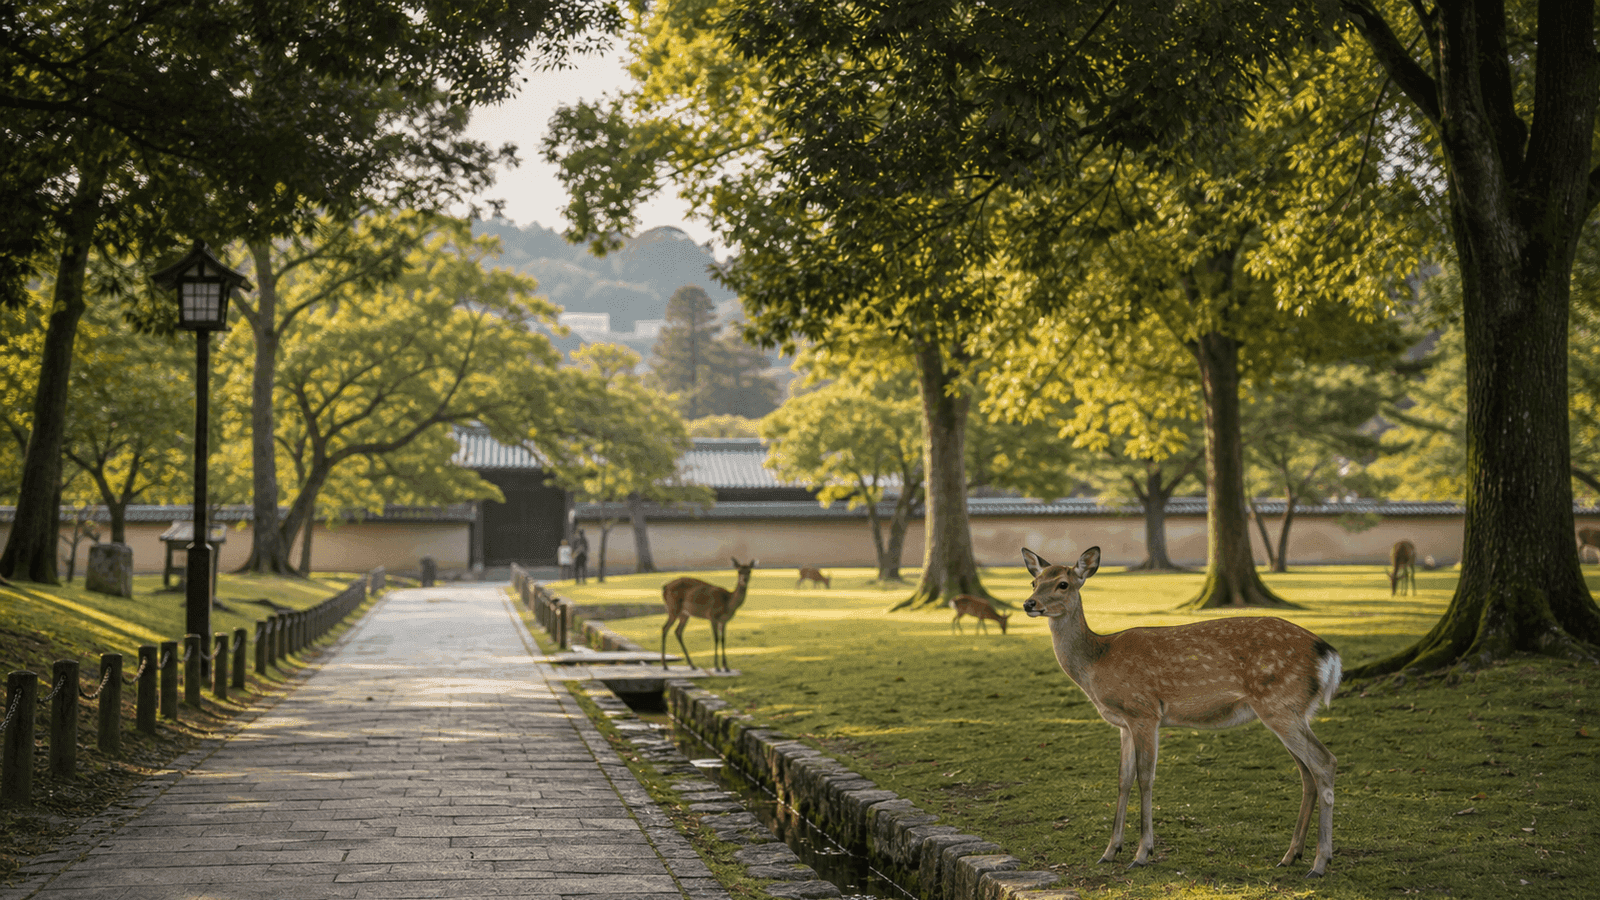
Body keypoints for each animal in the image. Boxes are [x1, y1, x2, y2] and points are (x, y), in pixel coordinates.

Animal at [1021, 546, 1340, 877]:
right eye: (1034, 582)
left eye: (1063, 584)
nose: (1029, 603)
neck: (1098, 661)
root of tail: (1328, 654)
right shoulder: (1123, 723)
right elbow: (1123, 779)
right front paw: (1110, 851)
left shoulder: (1144, 711)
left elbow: (1145, 778)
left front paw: (1142, 853)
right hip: (1291, 710)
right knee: (1307, 773)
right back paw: (1292, 855)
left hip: (1280, 704)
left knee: (1324, 762)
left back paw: (1320, 862)